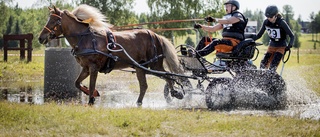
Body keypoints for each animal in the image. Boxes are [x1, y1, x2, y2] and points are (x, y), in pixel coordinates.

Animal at [37, 4, 189, 105]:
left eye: (54, 21)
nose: (40, 38)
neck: (86, 38)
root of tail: (156, 35)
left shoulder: (93, 68)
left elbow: (91, 84)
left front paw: (91, 100)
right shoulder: (86, 68)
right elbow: (77, 83)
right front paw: (93, 93)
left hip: (154, 65)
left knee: (168, 77)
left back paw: (175, 93)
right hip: (140, 67)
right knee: (144, 86)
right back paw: (138, 103)